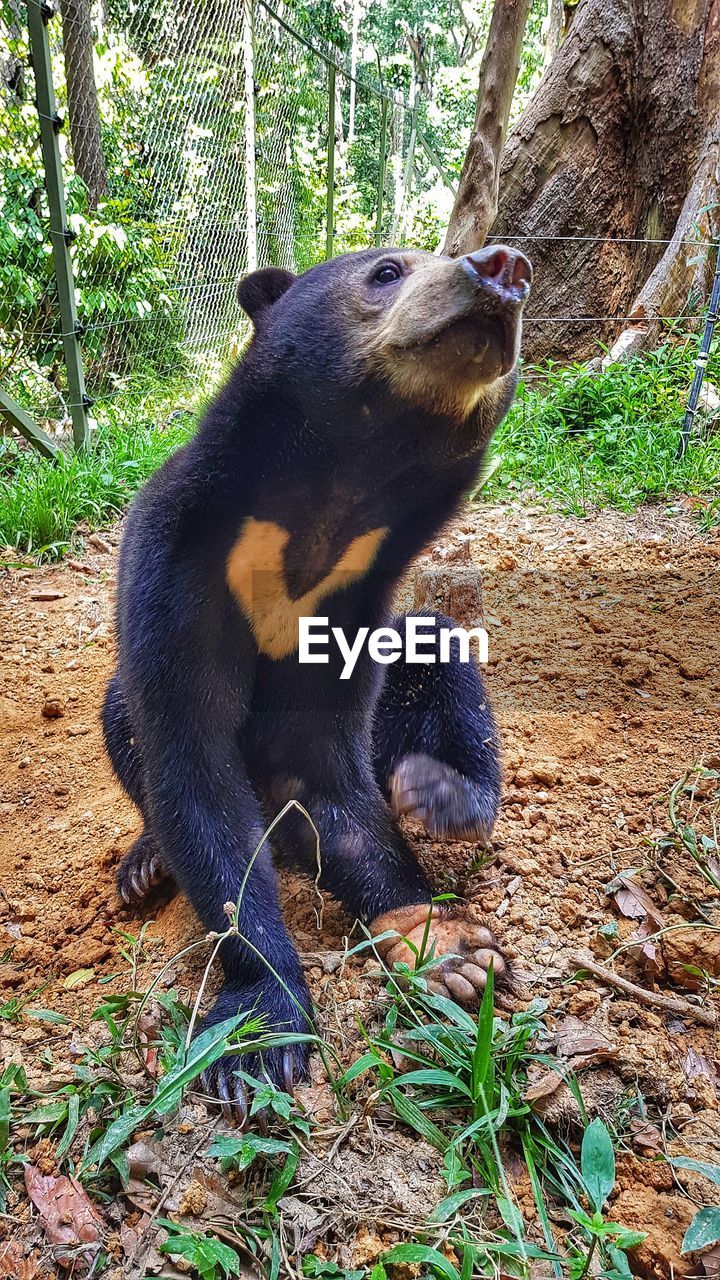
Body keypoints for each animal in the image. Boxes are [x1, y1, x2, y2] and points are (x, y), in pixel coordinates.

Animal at [102, 240, 527, 1121]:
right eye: (388, 272)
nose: (505, 267)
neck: (334, 493)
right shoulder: (175, 559)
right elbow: (192, 763)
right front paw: (259, 1032)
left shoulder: (358, 599)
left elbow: (321, 771)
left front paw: (447, 945)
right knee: (126, 715)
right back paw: (146, 865)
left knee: (438, 649)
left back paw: (442, 795)